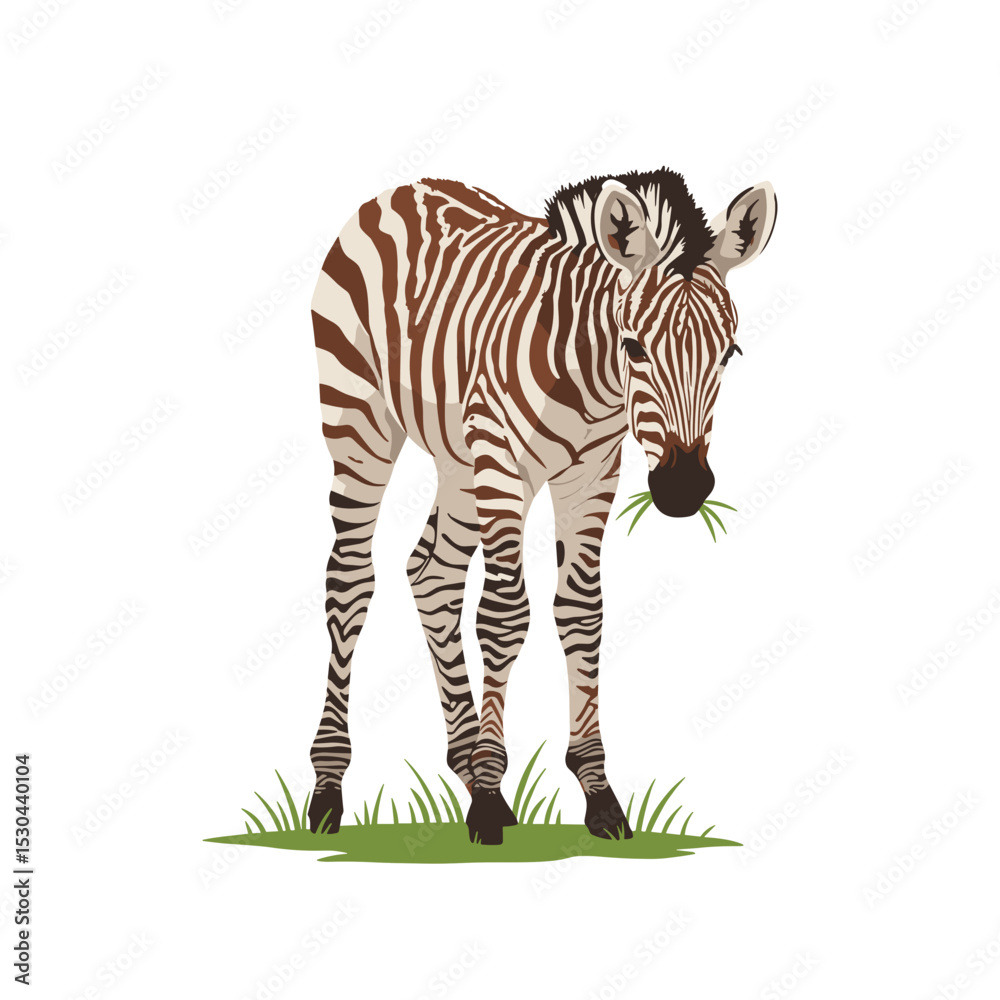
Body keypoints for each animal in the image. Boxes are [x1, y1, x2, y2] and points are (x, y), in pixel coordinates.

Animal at [307, 168, 777, 844]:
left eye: (729, 353)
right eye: (634, 347)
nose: (683, 490)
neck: (590, 376)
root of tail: (402, 188)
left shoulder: (593, 472)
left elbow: (582, 613)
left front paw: (597, 792)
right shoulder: (502, 459)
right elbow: (503, 617)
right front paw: (488, 792)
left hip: (459, 461)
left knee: (431, 575)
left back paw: (461, 756)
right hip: (360, 420)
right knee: (349, 581)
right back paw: (329, 786)